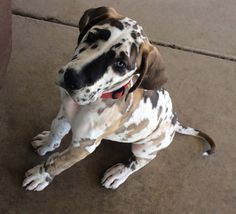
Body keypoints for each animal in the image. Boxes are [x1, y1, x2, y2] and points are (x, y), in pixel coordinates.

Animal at [22, 6, 216, 191]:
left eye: (121, 64)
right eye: (91, 36)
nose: (72, 79)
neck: (96, 100)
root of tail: (174, 121)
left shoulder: (84, 146)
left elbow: (58, 163)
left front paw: (41, 176)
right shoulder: (64, 113)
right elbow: (56, 131)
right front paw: (47, 143)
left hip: (145, 147)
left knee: (142, 161)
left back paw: (119, 173)